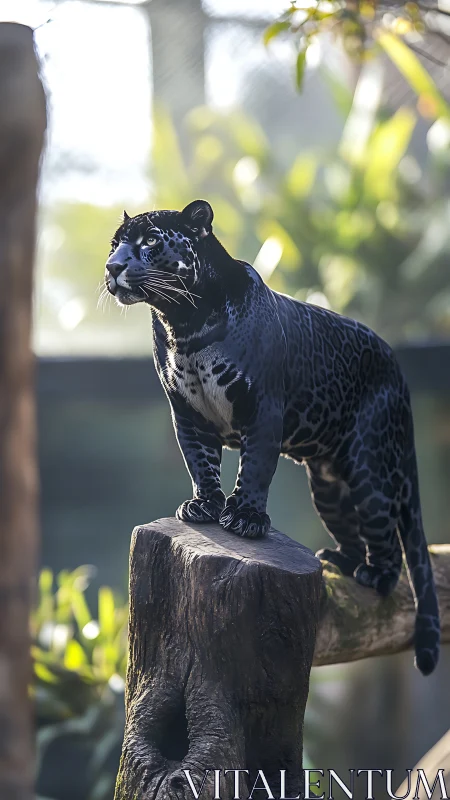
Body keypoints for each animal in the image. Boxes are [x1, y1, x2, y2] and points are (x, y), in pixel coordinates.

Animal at [104, 199, 440, 675]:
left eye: (150, 241)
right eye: (114, 244)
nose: (112, 267)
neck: (184, 322)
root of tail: (399, 370)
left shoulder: (262, 408)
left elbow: (255, 469)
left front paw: (244, 518)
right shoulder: (186, 414)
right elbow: (200, 463)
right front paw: (205, 506)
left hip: (370, 469)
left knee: (389, 541)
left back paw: (375, 574)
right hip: (328, 488)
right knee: (351, 530)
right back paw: (337, 559)